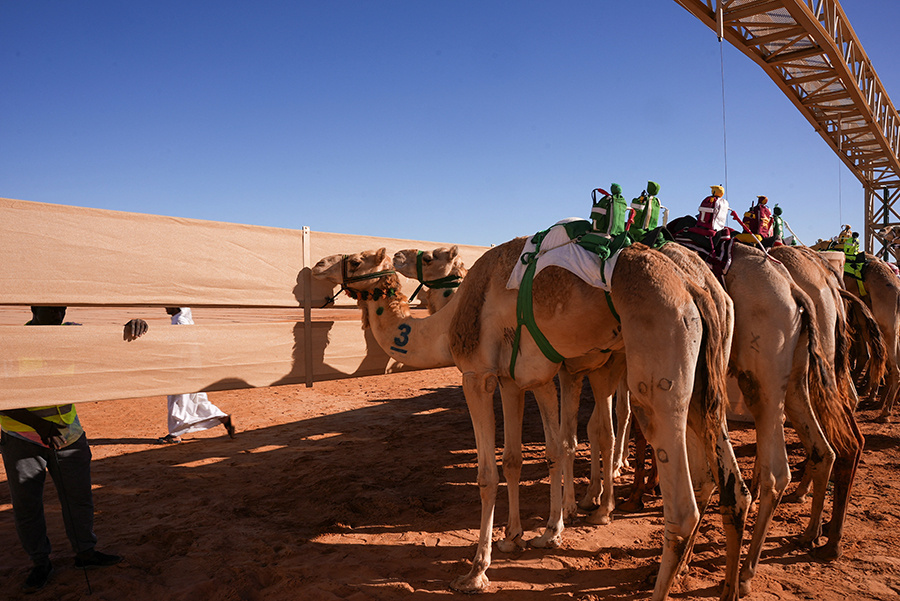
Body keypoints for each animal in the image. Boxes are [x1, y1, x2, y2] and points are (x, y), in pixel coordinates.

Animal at [312, 240, 748, 600]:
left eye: (354, 259)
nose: (317, 264)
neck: (447, 322)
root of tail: (694, 287)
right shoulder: (515, 379)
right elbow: (516, 459)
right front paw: (516, 537)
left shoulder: (478, 376)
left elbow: (489, 474)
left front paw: (477, 571)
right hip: (701, 383)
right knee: (727, 484)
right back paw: (721, 583)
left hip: (655, 371)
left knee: (681, 506)